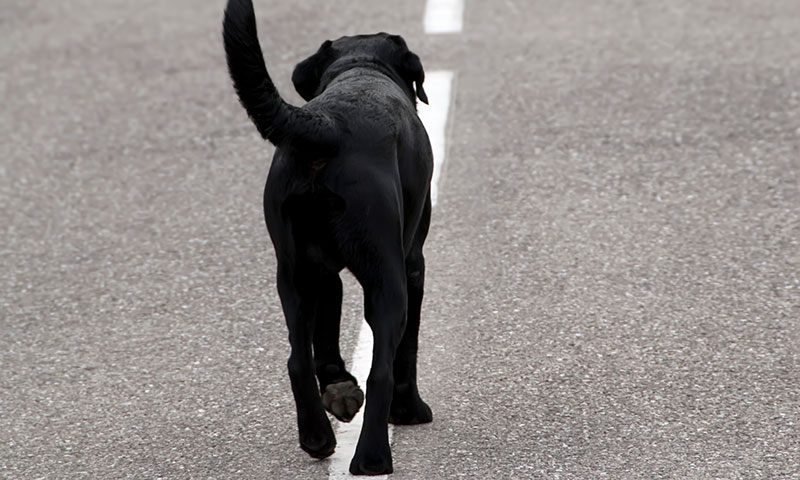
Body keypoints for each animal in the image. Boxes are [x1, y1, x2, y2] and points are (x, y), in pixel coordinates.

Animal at [222, 0, 434, 472]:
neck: (361, 68)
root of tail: (327, 125)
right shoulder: (413, 262)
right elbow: (406, 351)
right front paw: (409, 411)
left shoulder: (323, 271)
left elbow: (325, 338)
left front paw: (339, 388)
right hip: (386, 279)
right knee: (383, 366)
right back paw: (373, 457)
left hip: (293, 272)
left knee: (297, 360)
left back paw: (317, 435)